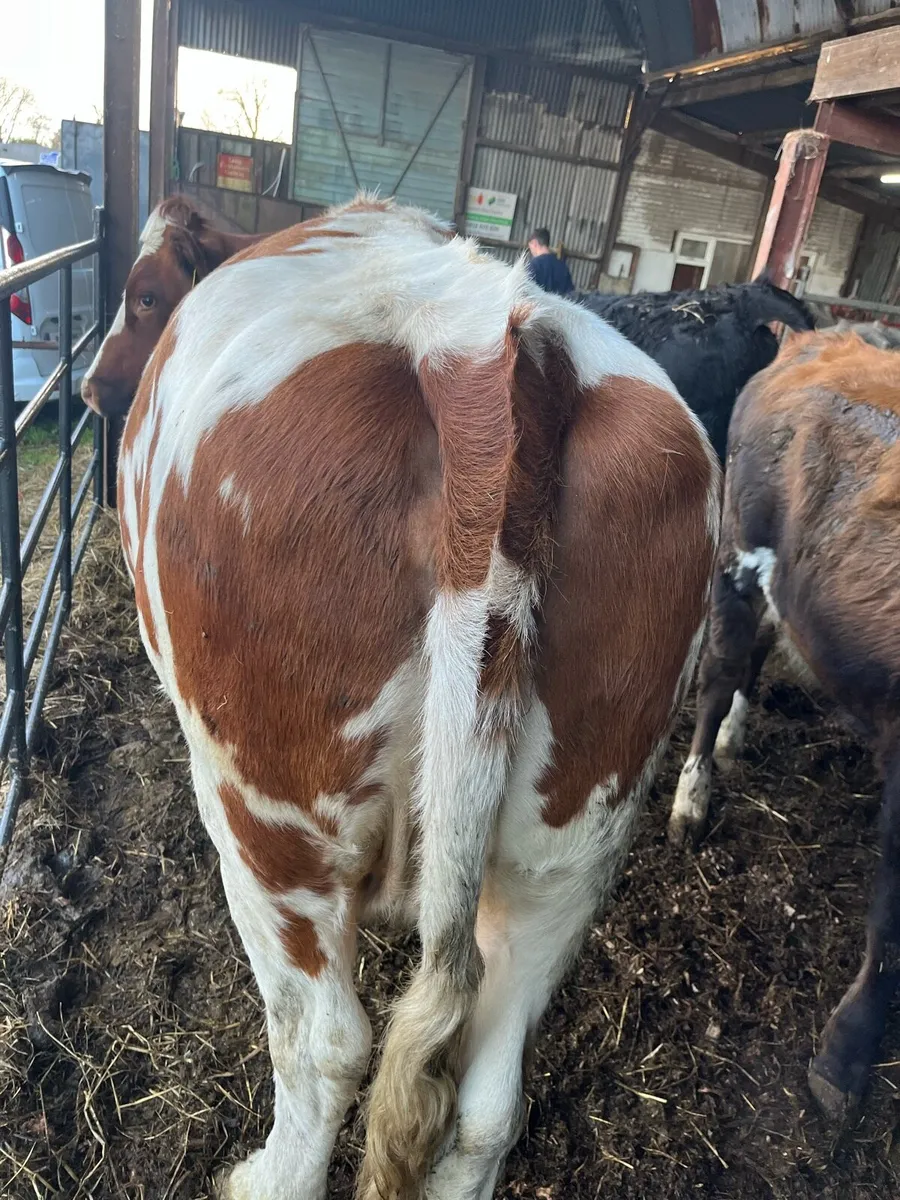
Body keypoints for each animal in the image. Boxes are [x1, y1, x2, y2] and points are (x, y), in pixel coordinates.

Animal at [83, 195, 720, 1199]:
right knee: (490, 1096)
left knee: (325, 1044)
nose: (89, 390)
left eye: (142, 294)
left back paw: (264, 1175)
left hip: (268, 814)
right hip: (574, 837)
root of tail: (478, 358)